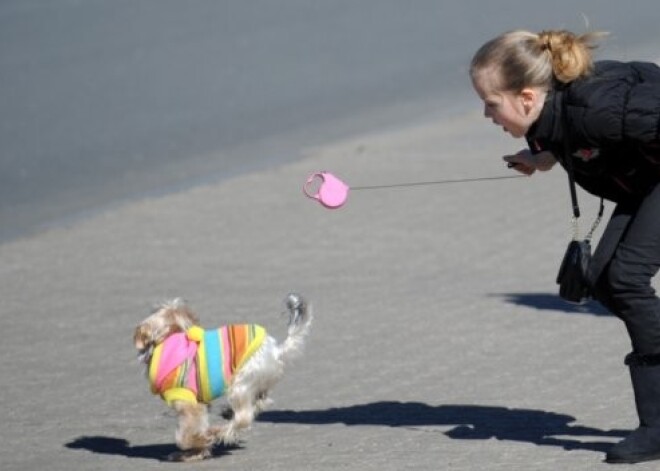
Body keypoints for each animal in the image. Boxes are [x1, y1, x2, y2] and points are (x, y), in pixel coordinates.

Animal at [134, 294, 312, 462]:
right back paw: (228, 413)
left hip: (241, 382)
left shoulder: (188, 402)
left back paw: (219, 432)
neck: (167, 340)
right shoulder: (200, 404)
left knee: (244, 417)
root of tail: (276, 351)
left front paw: (199, 442)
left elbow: (185, 435)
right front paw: (194, 453)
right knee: (260, 402)